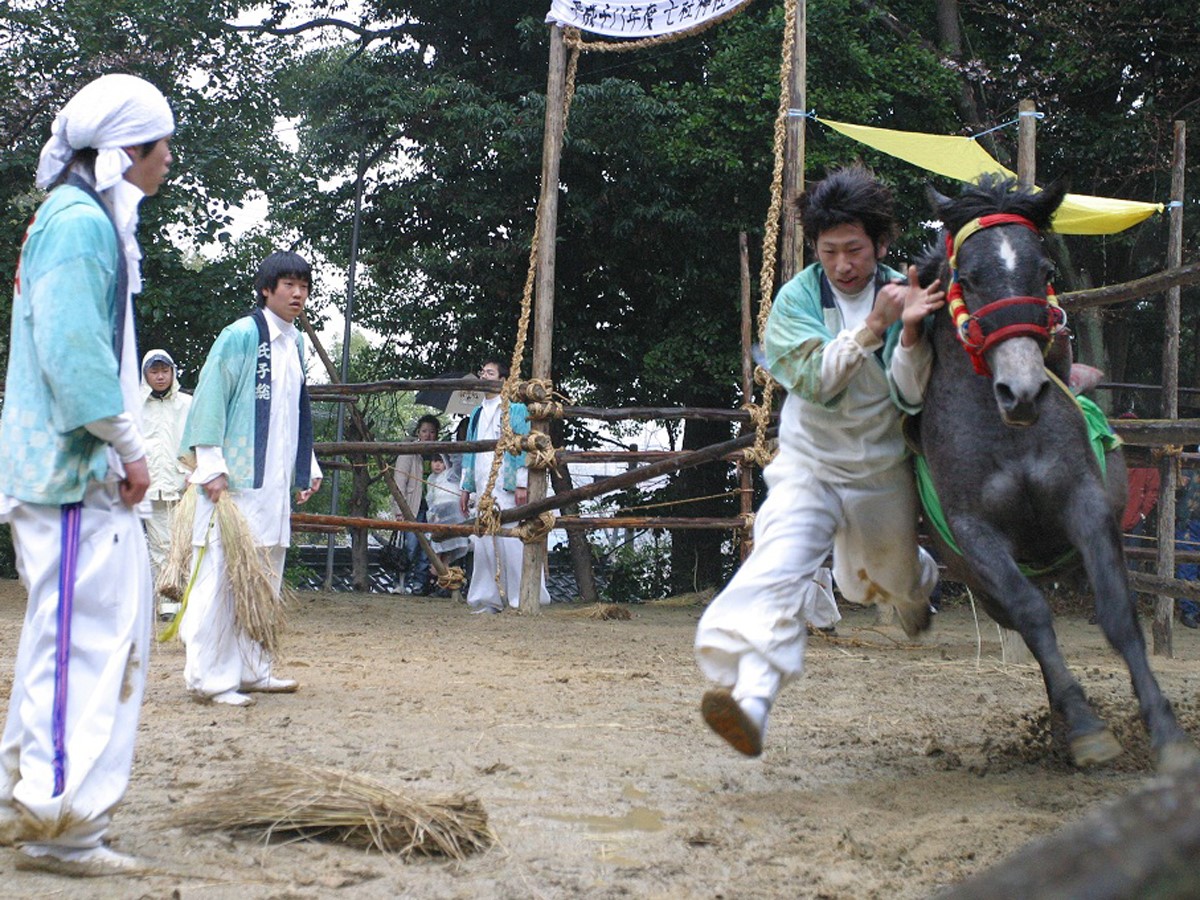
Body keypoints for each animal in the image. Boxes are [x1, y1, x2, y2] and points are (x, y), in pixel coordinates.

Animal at [912, 176, 1195, 777]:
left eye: (1043, 270)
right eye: (968, 278)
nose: (1021, 391)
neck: (1010, 436)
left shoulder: (1085, 505)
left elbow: (1118, 614)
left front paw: (1166, 729)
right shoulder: (977, 533)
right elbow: (1033, 615)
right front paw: (1087, 727)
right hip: (979, 580)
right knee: (1025, 622)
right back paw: (1068, 722)